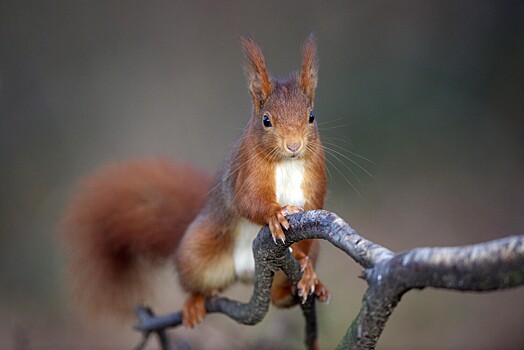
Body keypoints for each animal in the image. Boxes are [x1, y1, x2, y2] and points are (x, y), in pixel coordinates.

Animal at [61, 34, 330, 330]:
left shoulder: (314, 180)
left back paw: (300, 287)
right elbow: (248, 200)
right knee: (196, 281)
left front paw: (307, 269)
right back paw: (194, 302)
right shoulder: (245, 172)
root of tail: (247, 271)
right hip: (198, 251)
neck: (287, 163)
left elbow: (311, 215)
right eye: (266, 120)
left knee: (278, 296)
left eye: (311, 116)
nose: (294, 146)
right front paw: (276, 213)